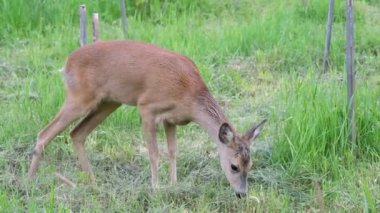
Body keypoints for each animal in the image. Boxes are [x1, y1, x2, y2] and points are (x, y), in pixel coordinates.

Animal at [28, 39, 266, 196]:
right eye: (234, 166)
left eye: (251, 164)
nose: (242, 194)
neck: (189, 94)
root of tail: (67, 63)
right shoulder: (147, 108)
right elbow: (154, 153)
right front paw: (156, 188)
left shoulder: (172, 119)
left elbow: (173, 151)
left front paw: (174, 186)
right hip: (79, 97)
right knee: (44, 133)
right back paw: (29, 182)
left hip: (108, 102)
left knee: (76, 133)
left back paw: (93, 184)